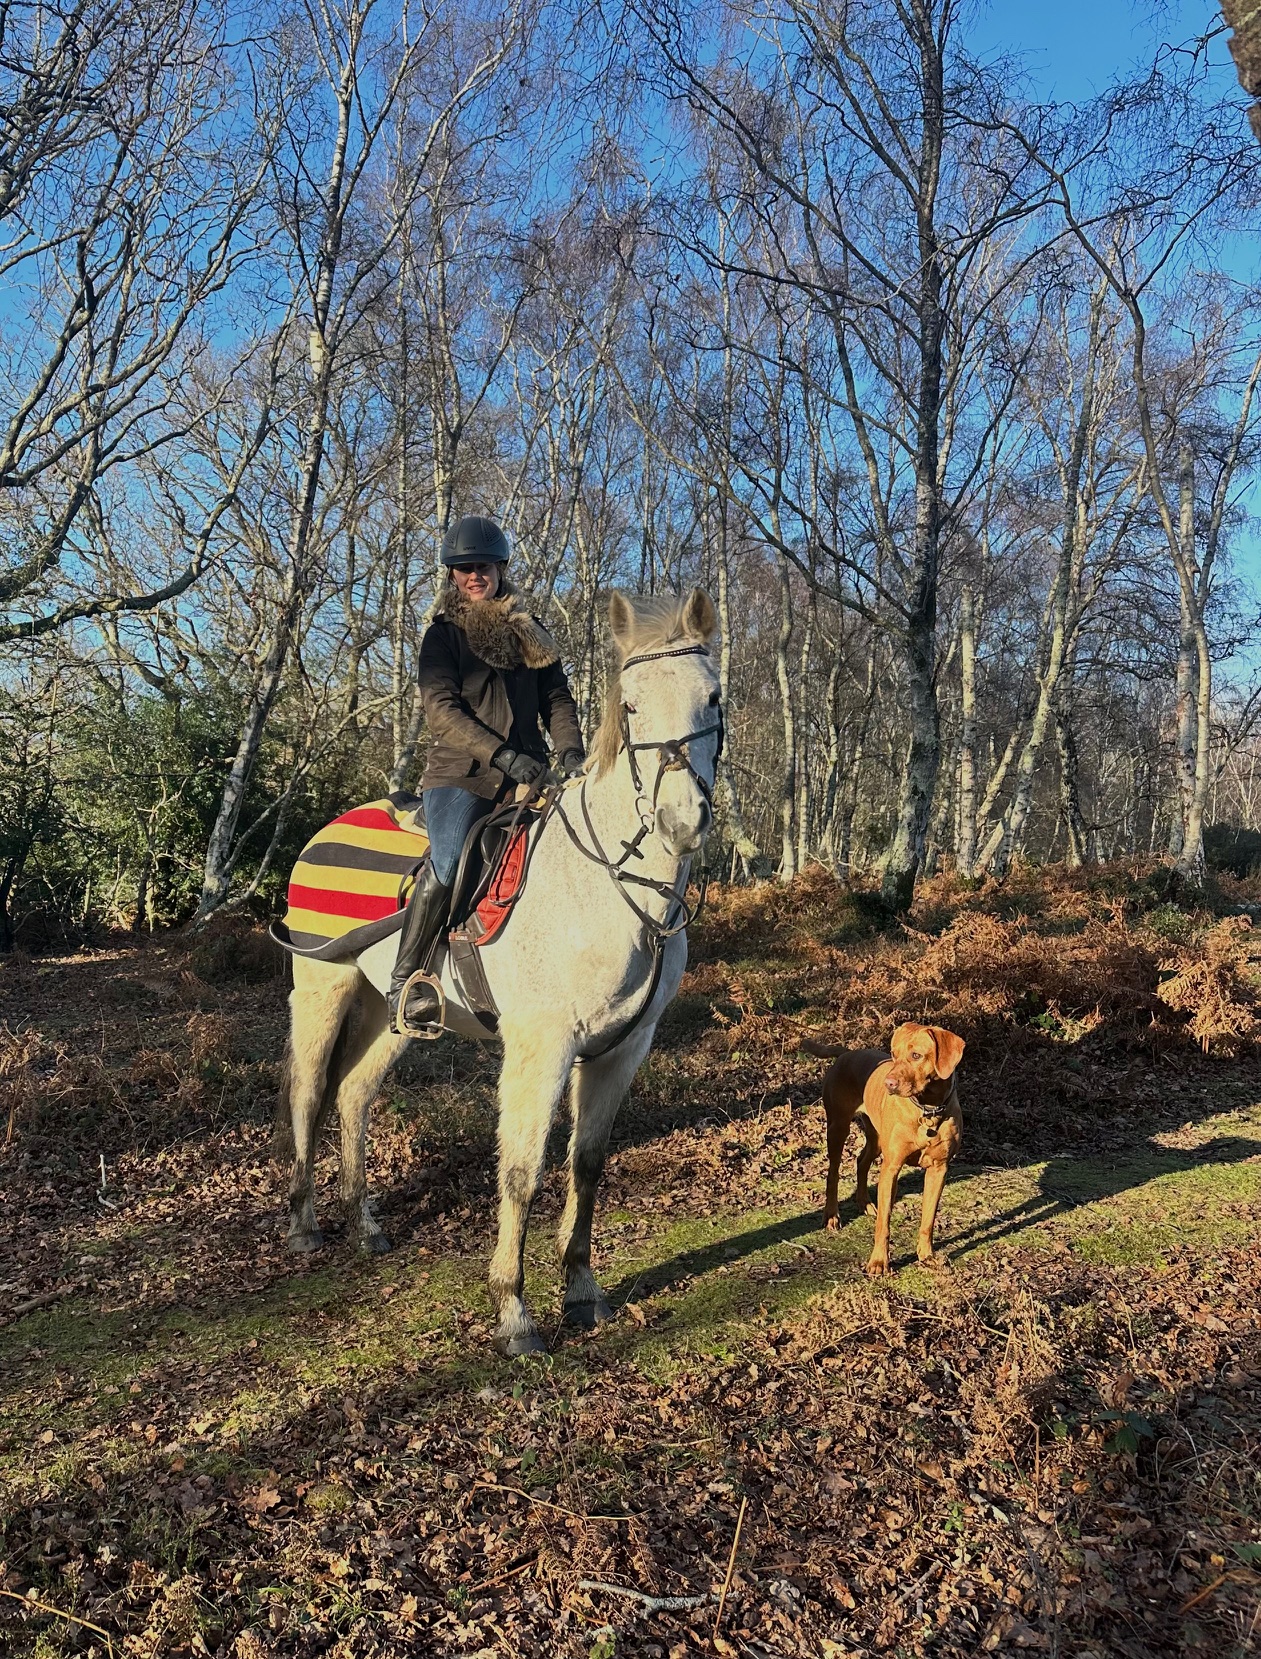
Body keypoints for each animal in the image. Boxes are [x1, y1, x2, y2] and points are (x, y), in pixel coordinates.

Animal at [278, 587, 722, 1355]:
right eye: (632, 704)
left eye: (712, 697)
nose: (680, 820)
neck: (608, 887)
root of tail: (326, 831)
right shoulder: (541, 1047)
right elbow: (520, 1173)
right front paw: (513, 1311)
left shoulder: (621, 1049)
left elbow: (587, 1163)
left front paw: (582, 1289)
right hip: (321, 989)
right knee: (308, 1093)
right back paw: (307, 1224)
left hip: (392, 1013)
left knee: (353, 1094)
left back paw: (364, 1223)